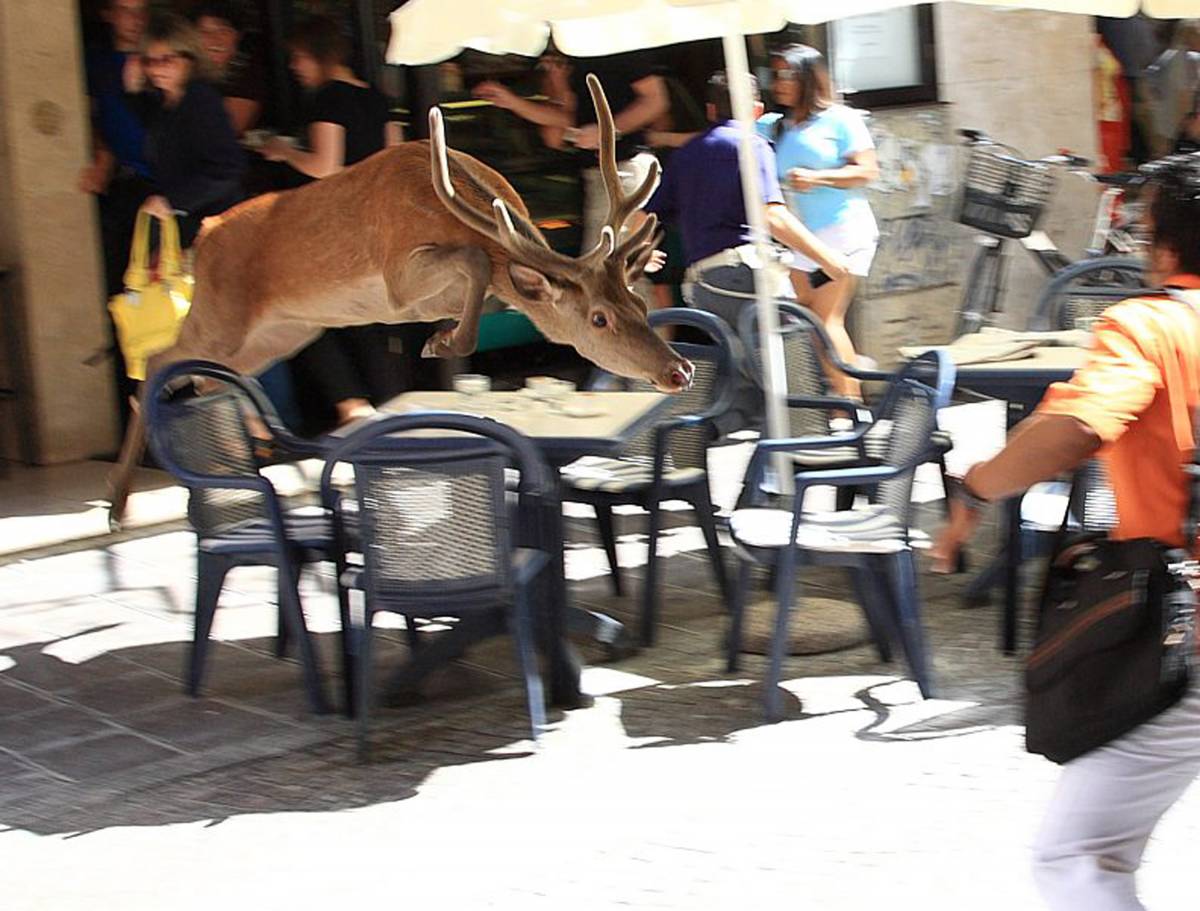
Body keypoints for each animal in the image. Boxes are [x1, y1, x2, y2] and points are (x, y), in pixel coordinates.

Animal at [114, 76, 696, 528]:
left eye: (639, 308)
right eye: (599, 318)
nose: (679, 371)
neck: (451, 205)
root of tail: (205, 234)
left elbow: (480, 286)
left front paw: (445, 336)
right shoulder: (397, 276)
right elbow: (476, 261)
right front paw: (445, 344)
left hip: (280, 334)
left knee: (206, 378)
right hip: (220, 314)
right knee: (157, 359)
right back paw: (120, 502)